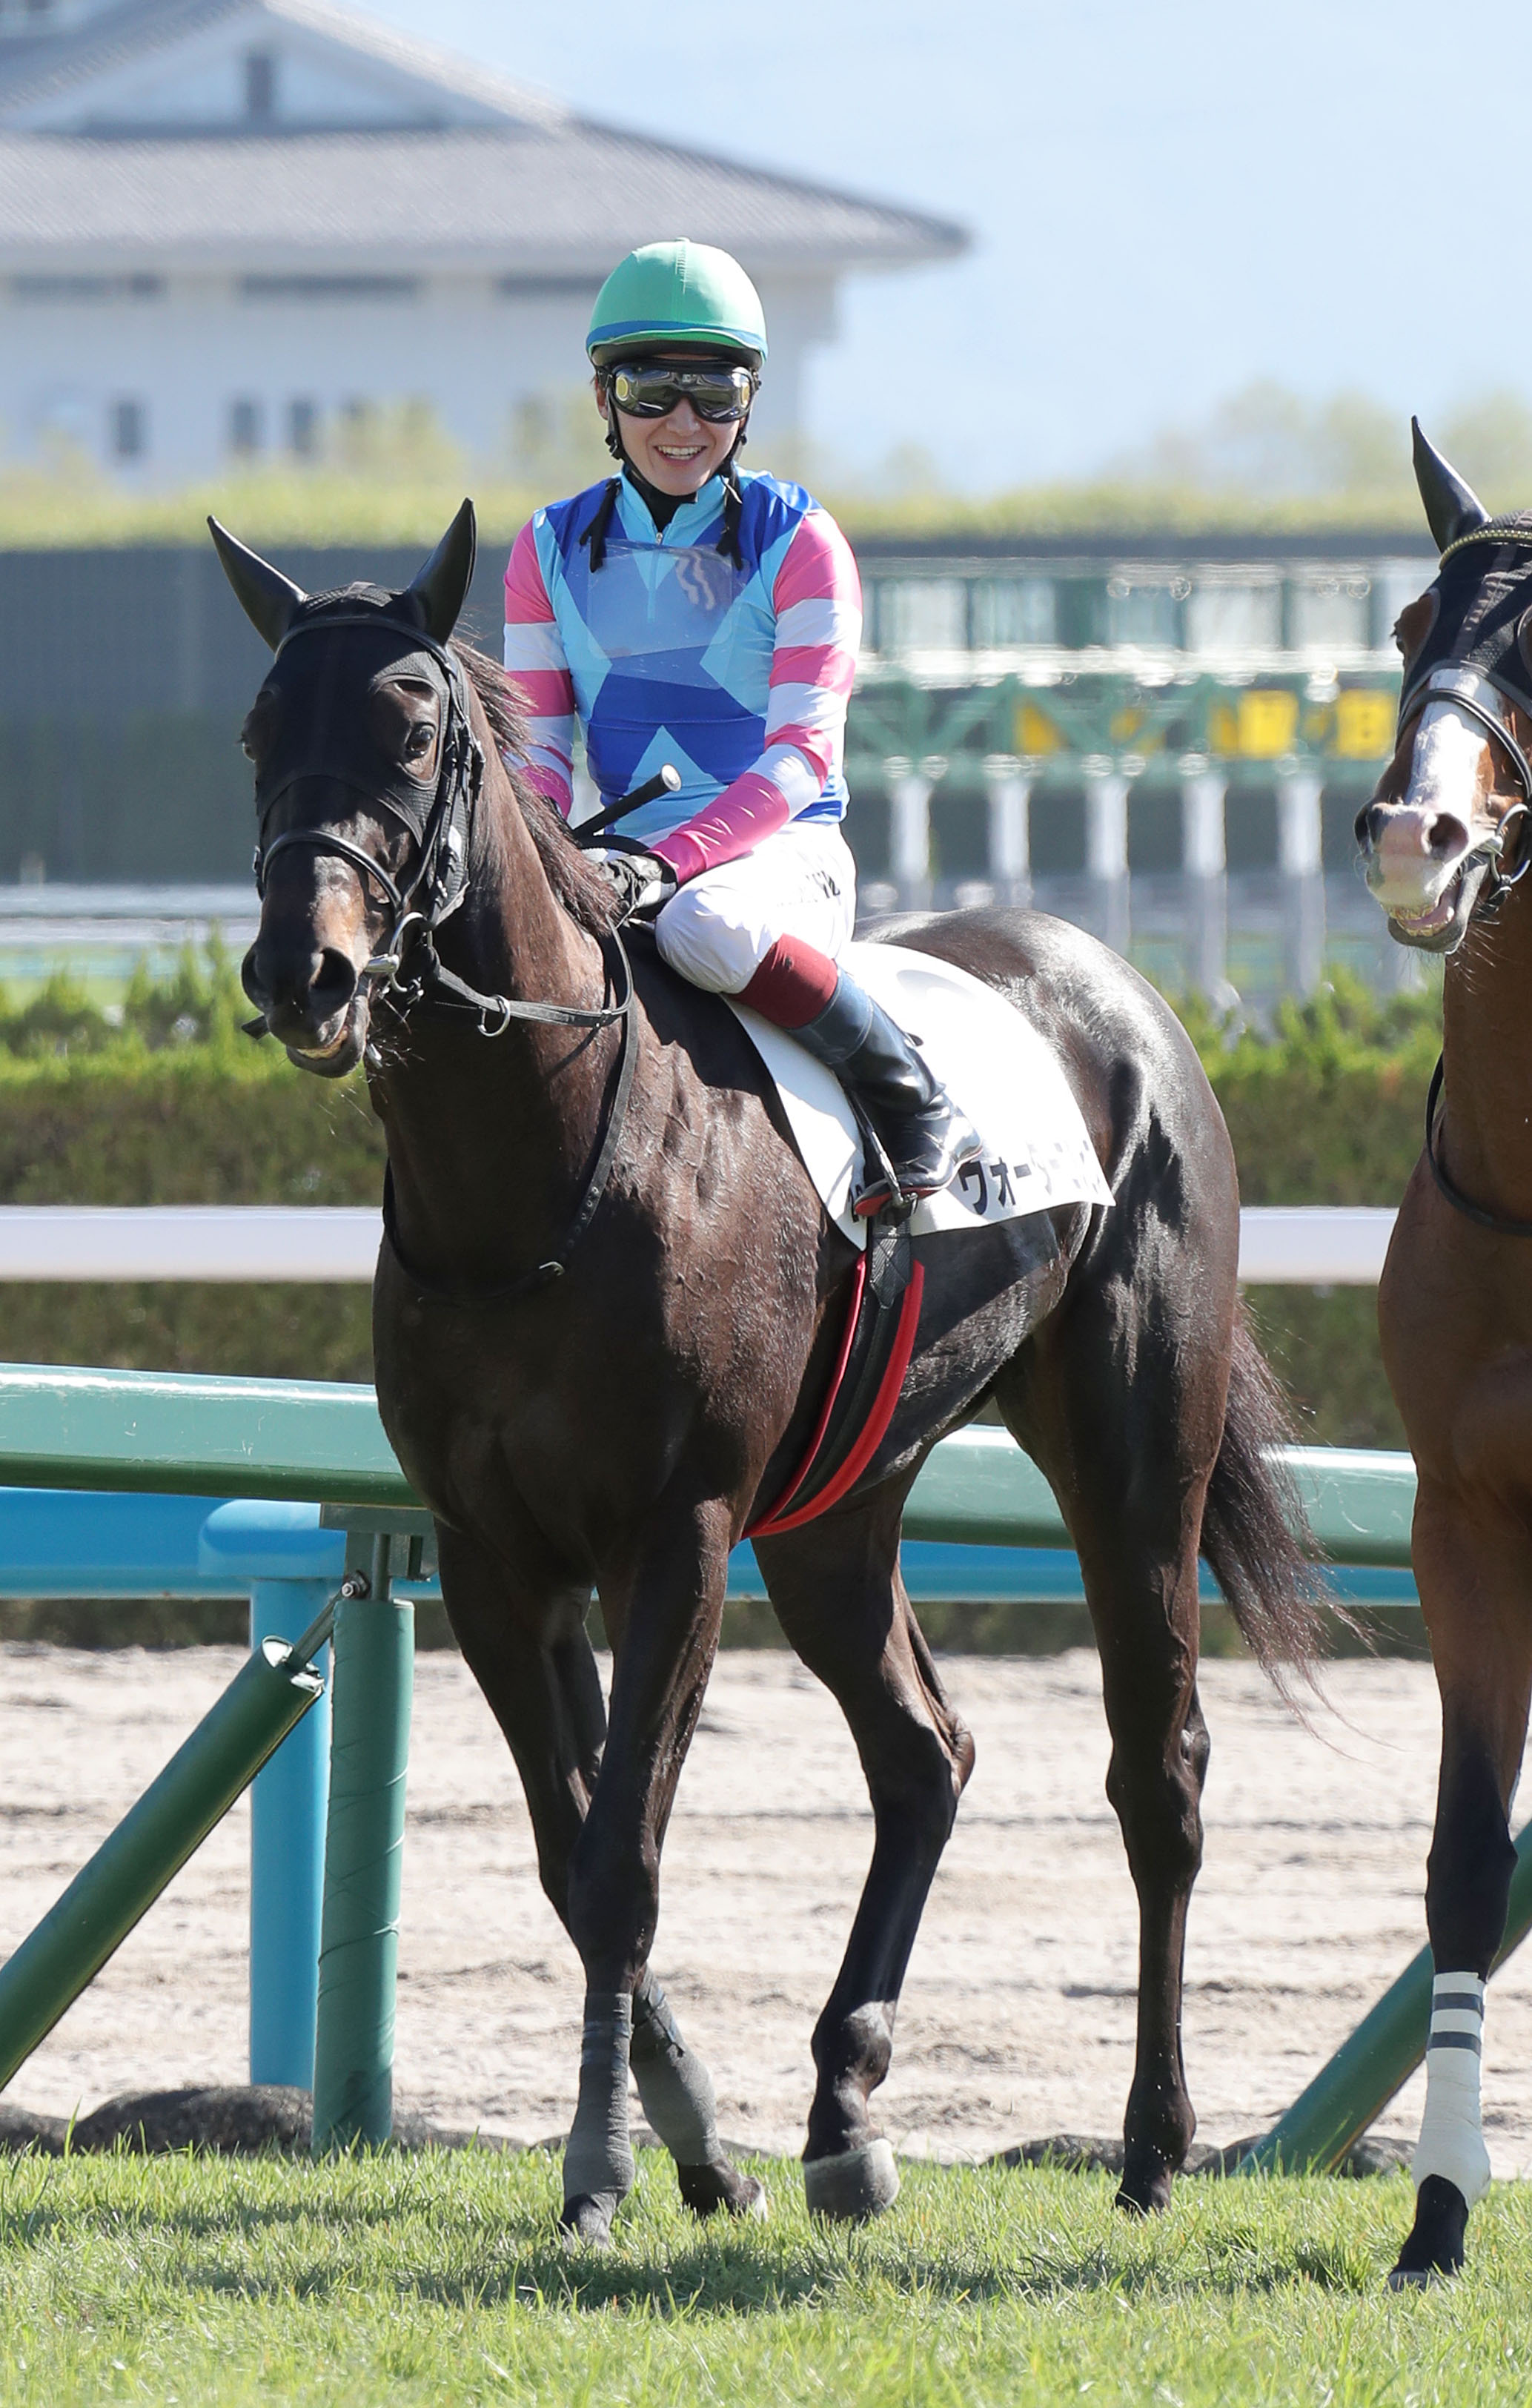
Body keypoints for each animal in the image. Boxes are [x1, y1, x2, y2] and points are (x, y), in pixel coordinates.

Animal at [217, 499, 1321, 2247]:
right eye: (264, 728)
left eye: (411, 728)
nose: (302, 973)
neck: (541, 1175)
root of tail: (1124, 992)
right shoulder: (494, 1553)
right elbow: (570, 1853)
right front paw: (700, 2149)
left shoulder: (677, 1528)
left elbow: (621, 1857)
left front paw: (601, 2171)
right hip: (834, 1514)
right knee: (924, 1754)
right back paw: (843, 2111)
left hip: (1136, 1456)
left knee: (1160, 1772)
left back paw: (1152, 2144)